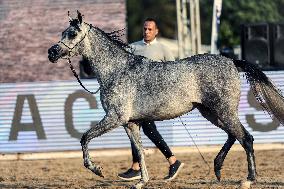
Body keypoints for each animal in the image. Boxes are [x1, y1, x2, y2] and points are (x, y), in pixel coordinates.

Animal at [47, 11, 282, 188]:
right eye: (63, 32)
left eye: (73, 33)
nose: (52, 52)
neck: (117, 70)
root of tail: (232, 61)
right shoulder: (130, 123)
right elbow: (139, 151)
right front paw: (141, 181)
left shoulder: (115, 117)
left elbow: (85, 138)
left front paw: (97, 170)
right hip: (211, 112)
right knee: (234, 136)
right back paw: (217, 168)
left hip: (223, 111)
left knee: (246, 138)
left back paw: (248, 179)